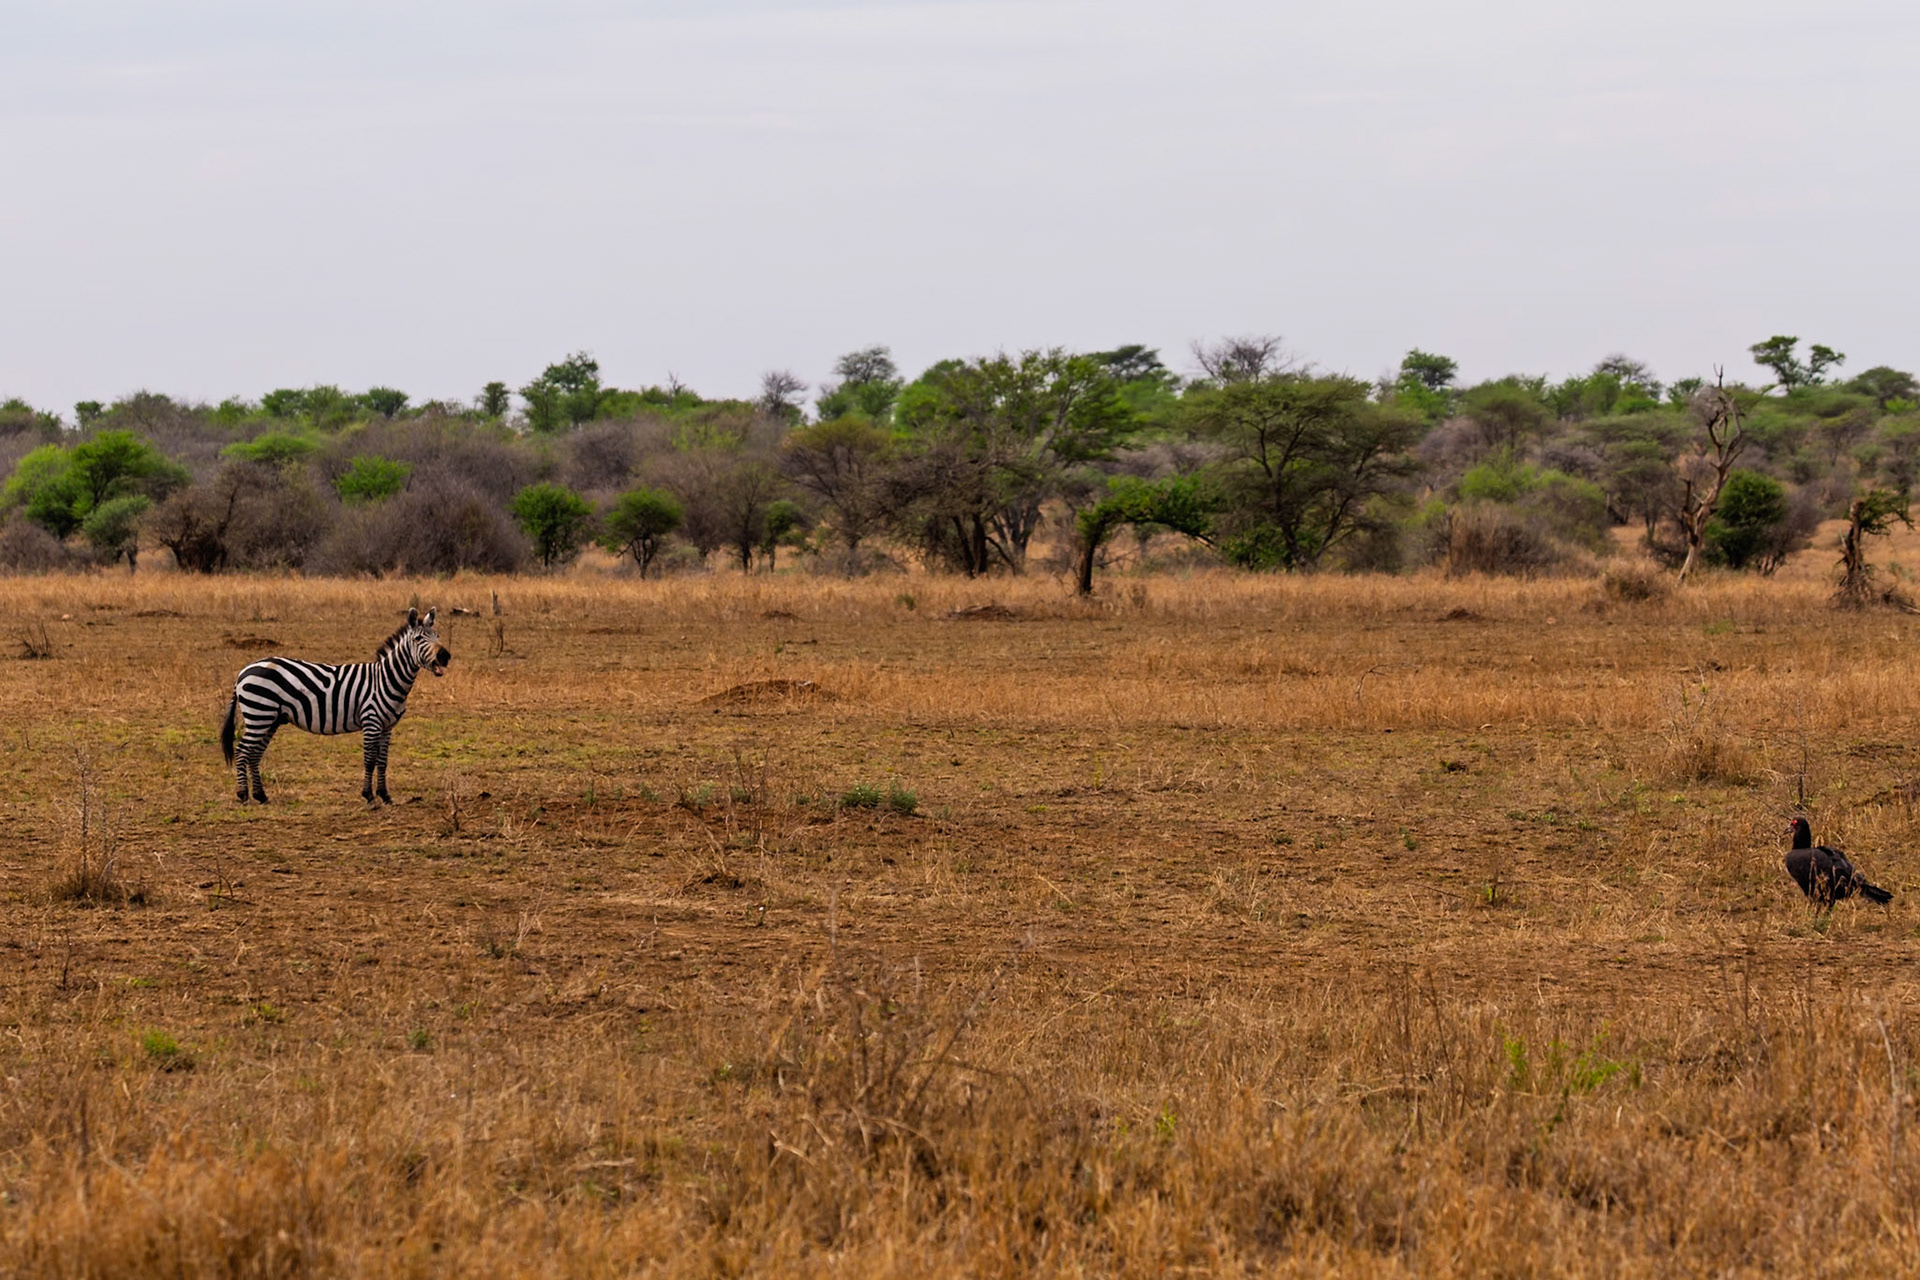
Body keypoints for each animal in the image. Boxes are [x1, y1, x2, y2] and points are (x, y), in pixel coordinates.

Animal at [220, 607, 452, 805]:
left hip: (270, 719)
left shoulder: (388, 727)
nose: (445, 656)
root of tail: (243, 672)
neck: (386, 679)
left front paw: (385, 795)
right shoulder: (371, 721)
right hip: (259, 715)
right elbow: (369, 759)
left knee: (254, 754)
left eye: (438, 636)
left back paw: (261, 796)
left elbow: (383, 761)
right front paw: (369, 796)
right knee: (242, 751)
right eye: (418, 639)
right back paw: (243, 795)